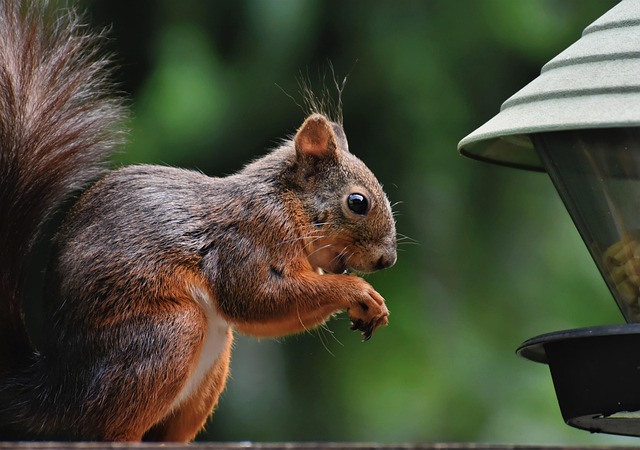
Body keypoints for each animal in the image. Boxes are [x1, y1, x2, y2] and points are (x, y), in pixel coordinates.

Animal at [0, 1, 397, 443]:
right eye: (357, 202)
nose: (387, 260)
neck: (285, 205)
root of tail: (56, 389)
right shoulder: (245, 241)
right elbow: (258, 297)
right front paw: (359, 291)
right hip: (168, 333)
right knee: (104, 428)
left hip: (208, 371)